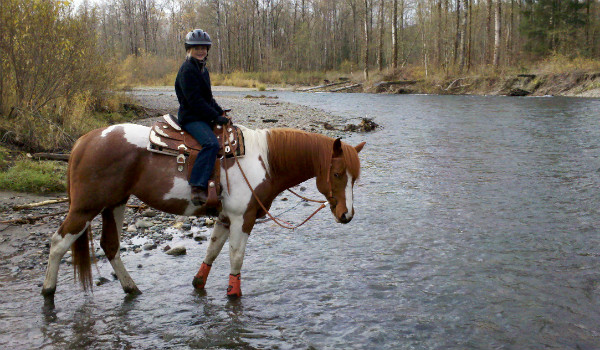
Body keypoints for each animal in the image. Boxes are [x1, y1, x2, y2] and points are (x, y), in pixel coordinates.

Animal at [41, 122, 366, 298]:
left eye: (355, 177)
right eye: (338, 174)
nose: (347, 215)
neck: (264, 161)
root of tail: (84, 141)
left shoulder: (224, 217)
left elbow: (213, 250)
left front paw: (199, 283)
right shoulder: (242, 218)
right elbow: (236, 257)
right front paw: (234, 294)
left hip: (115, 204)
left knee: (110, 246)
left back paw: (131, 288)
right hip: (86, 207)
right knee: (58, 242)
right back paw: (48, 292)